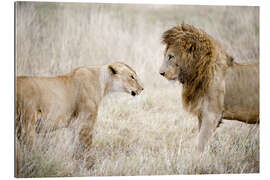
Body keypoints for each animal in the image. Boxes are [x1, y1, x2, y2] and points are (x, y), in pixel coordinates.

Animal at [15, 61, 144, 162]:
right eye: (132, 76)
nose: (142, 88)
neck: (103, 83)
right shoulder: (86, 122)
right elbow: (86, 146)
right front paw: (89, 166)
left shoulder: (75, 124)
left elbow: (74, 147)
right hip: (26, 125)